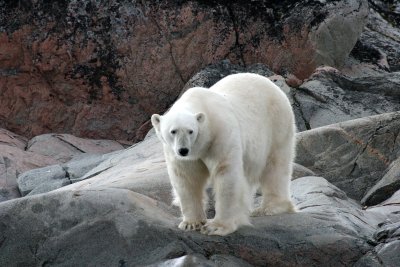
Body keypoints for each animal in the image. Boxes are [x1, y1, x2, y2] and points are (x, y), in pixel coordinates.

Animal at [152, 73, 296, 237]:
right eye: (173, 131)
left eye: (191, 131)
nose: (183, 150)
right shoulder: (178, 154)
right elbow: (186, 178)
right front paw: (191, 223)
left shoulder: (220, 134)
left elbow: (226, 174)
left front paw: (216, 227)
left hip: (276, 123)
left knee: (276, 165)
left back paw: (270, 208)